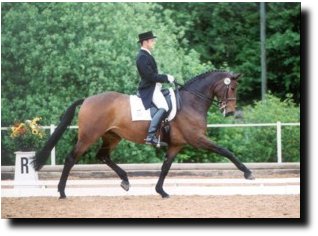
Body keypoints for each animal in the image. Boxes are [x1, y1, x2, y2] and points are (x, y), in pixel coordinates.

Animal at [32, 70, 255, 199]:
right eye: (232, 87)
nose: (230, 112)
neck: (191, 101)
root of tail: (87, 99)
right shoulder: (198, 139)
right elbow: (226, 151)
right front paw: (248, 173)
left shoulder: (176, 145)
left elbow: (165, 168)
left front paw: (161, 191)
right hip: (89, 136)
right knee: (71, 158)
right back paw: (62, 192)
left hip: (112, 136)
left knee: (102, 156)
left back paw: (125, 181)